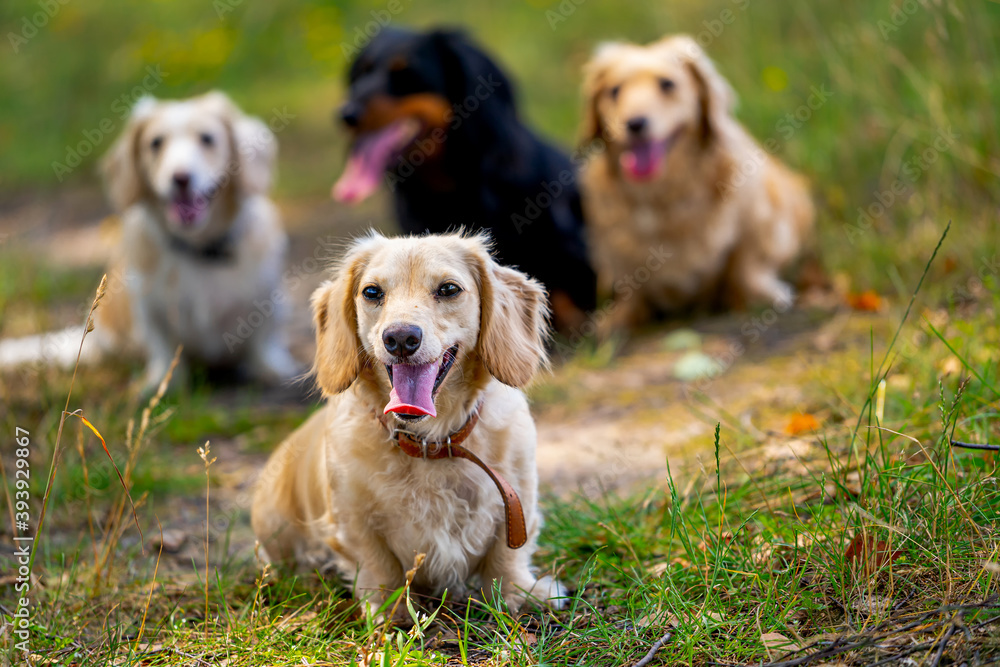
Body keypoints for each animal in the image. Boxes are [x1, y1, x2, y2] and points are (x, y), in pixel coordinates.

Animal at [254, 234, 568, 616]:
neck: (430, 442)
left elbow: (506, 557)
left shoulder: (517, 501)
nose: (400, 338)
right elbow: (379, 565)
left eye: (449, 289)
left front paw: (520, 594)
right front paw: (392, 612)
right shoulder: (353, 521)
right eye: (372, 292)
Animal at [580, 34, 812, 332]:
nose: (634, 123)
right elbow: (632, 284)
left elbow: (745, 265)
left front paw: (759, 296)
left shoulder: (757, 218)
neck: (662, 195)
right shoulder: (617, 241)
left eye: (667, 84)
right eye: (615, 91)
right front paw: (621, 318)